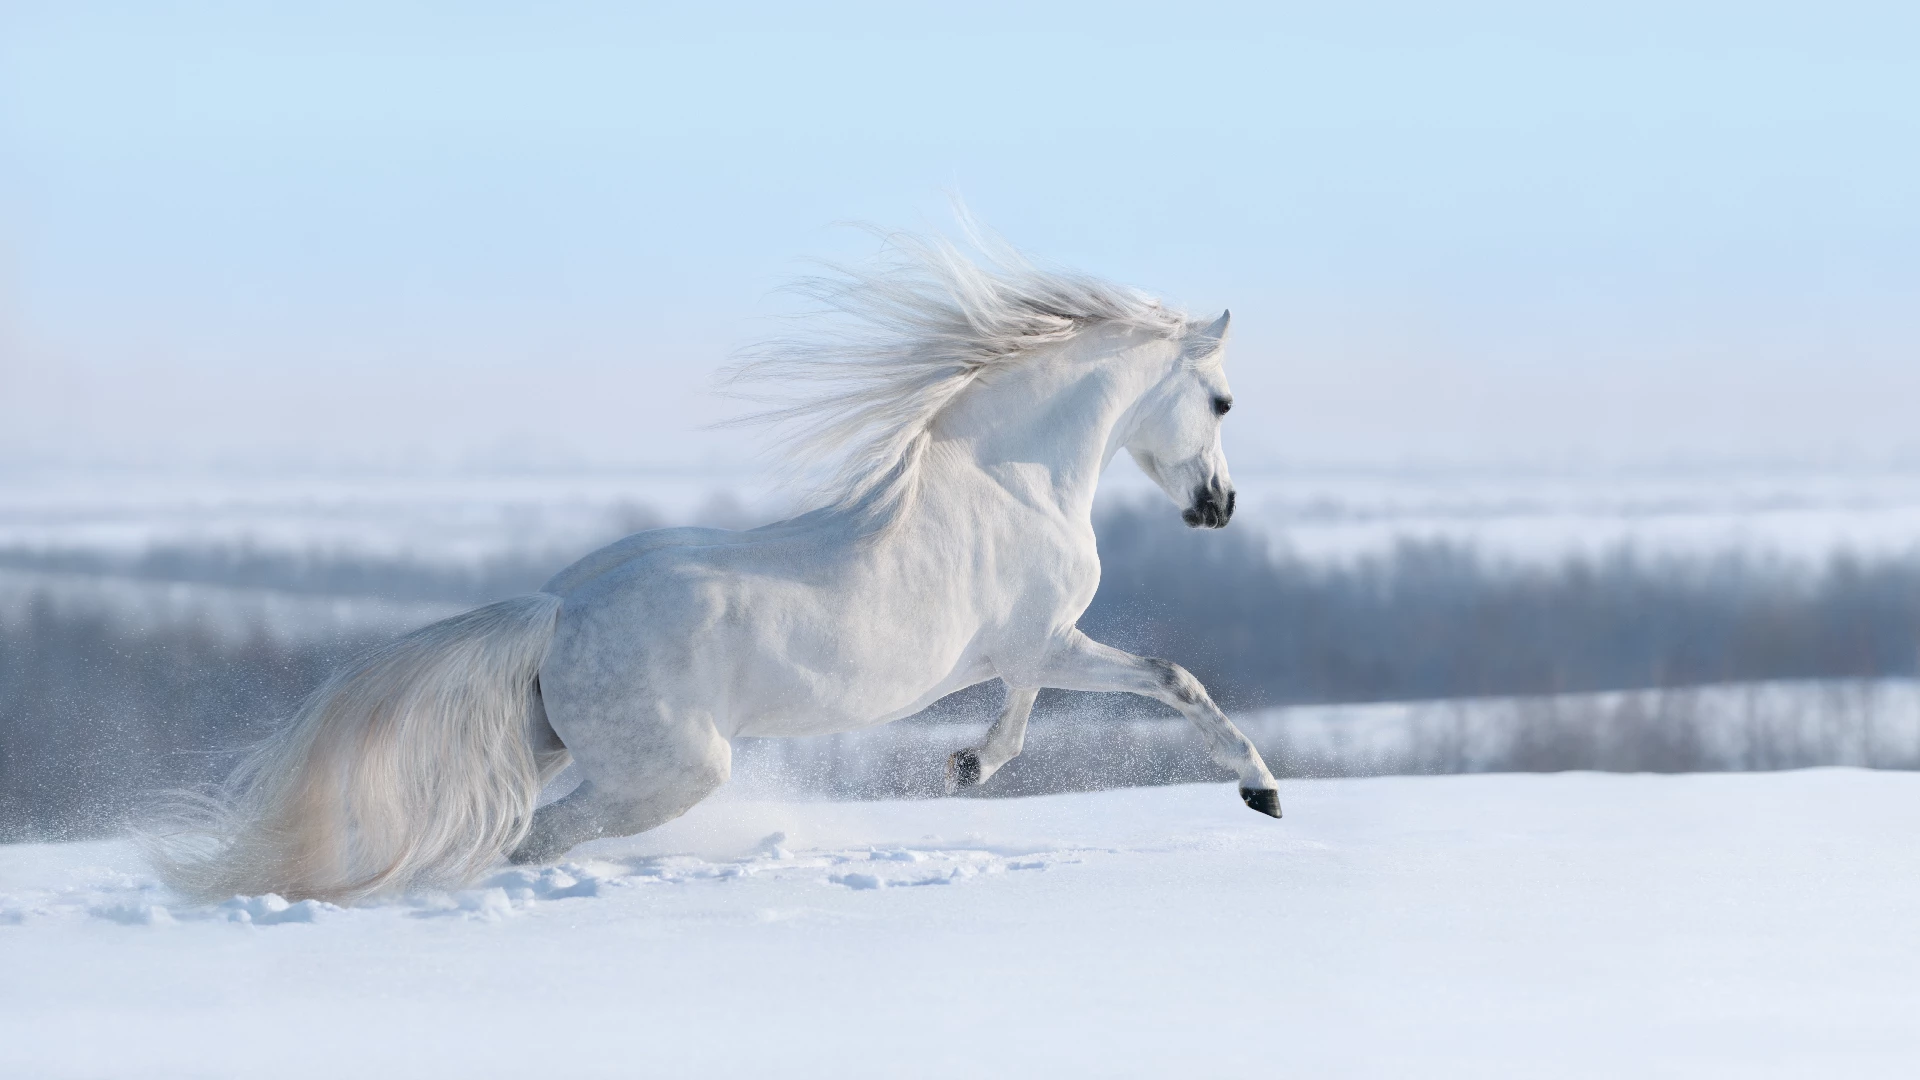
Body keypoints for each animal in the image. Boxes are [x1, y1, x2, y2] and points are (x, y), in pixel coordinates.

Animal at [149, 226, 1282, 899]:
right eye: (1224, 402)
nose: (1218, 508)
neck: (1011, 478)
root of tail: (557, 612)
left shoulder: (1025, 650)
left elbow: (1067, 703)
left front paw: (969, 765)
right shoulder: (1043, 640)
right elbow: (1163, 680)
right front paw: (1260, 792)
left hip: (559, 747)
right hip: (674, 773)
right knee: (531, 841)